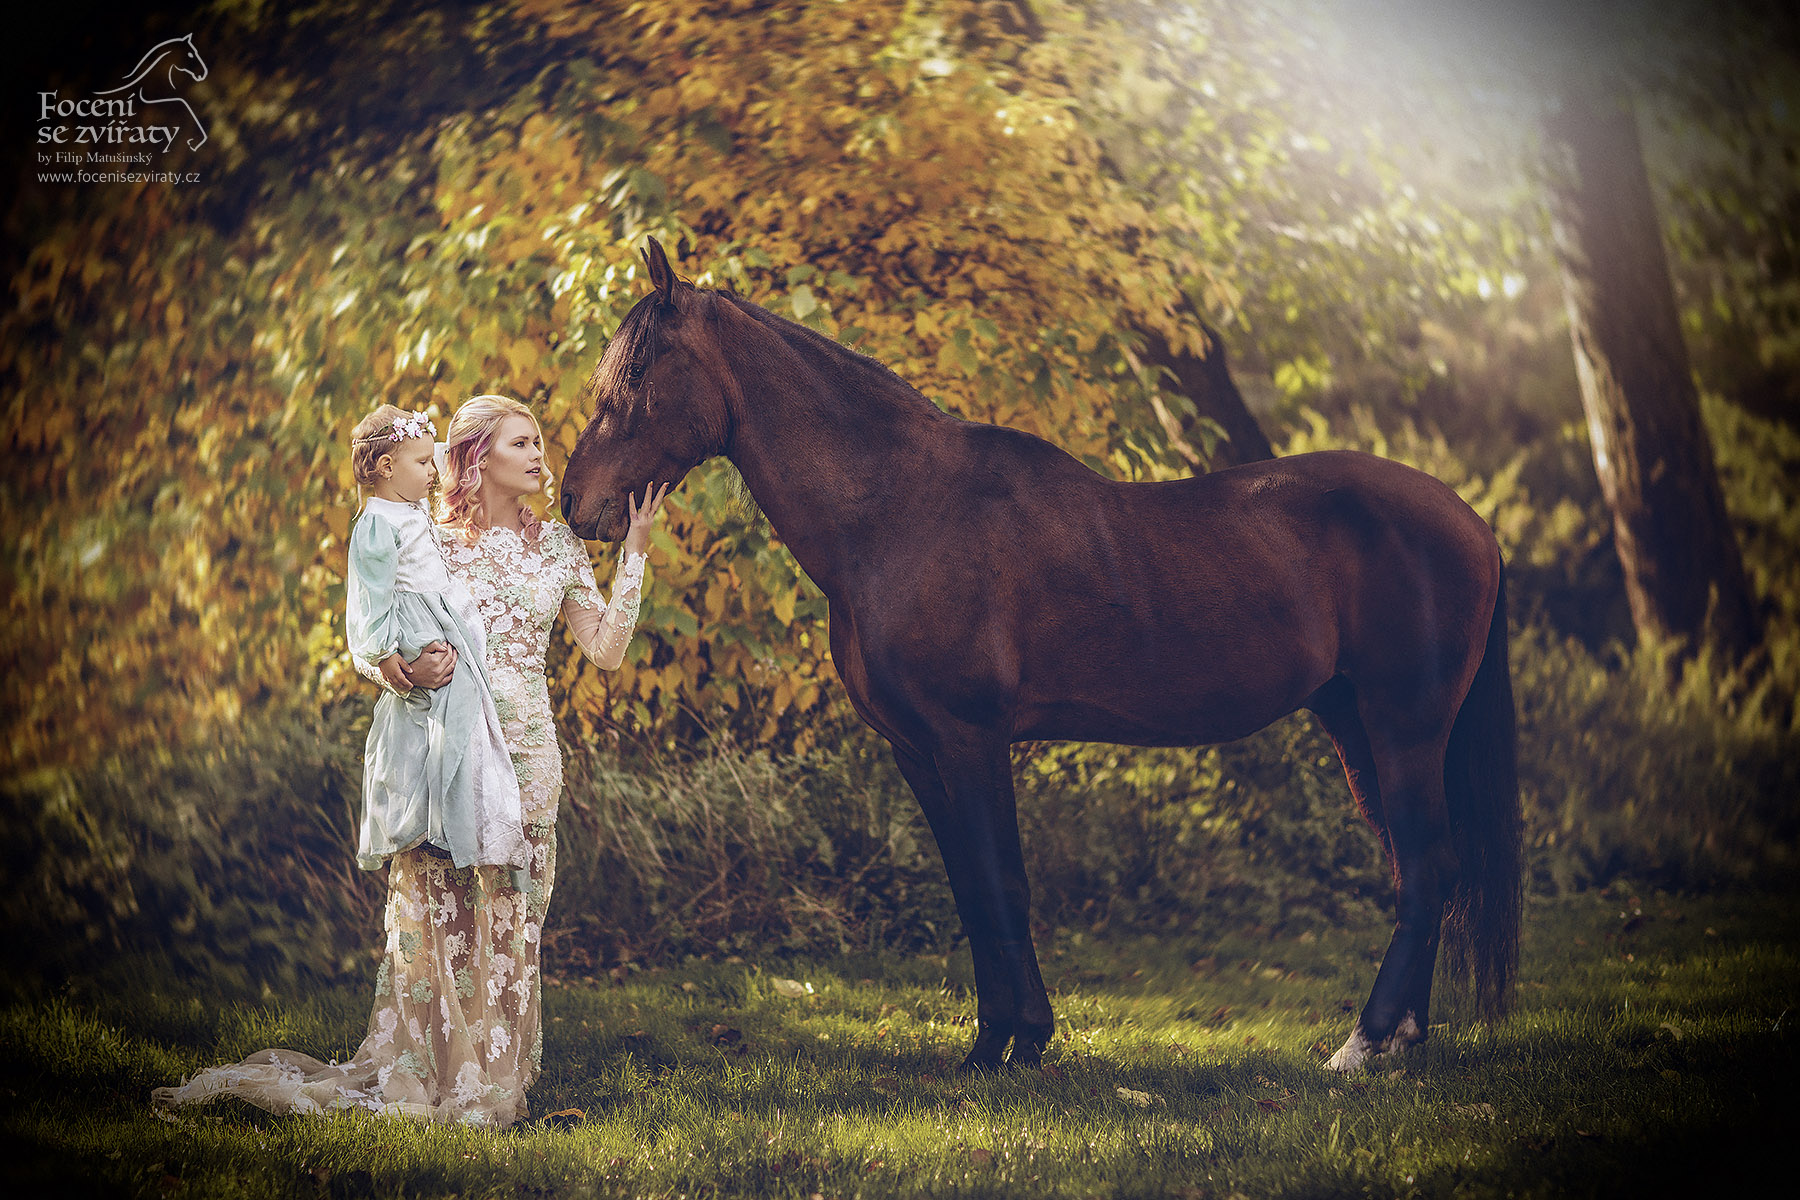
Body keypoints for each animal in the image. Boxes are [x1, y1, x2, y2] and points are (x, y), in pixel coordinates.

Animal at [561, 239, 1519, 1072]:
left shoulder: (971, 738)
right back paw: (1399, 1040)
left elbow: (1001, 885)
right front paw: (1005, 1037)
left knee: (1428, 866)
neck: (899, 510)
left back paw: (1363, 1042)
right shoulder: (918, 752)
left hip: (1403, 727)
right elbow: (970, 891)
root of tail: (1473, 523)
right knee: (1419, 868)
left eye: (639, 373)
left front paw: (1009, 1044)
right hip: (1357, 725)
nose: (576, 502)